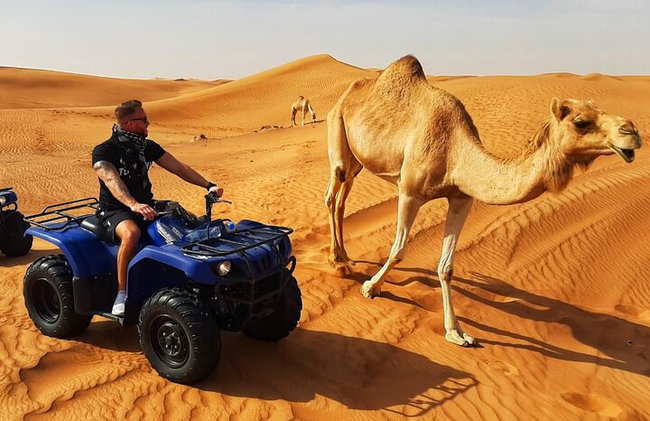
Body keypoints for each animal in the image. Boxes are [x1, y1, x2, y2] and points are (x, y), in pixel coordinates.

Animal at [325, 55, 642, 347]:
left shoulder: (462, 198)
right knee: (332, 193)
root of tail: (349, 91)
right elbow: (399, 250)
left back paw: (344, 257)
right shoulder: (410, 191)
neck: (455, 151)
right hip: (338, 130)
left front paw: (457, 332)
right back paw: (338, 262)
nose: (632, 131)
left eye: (600, 110)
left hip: (358, 161)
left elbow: (447, 266)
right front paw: (370, 287)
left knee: (342, 198)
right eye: (581, 122)